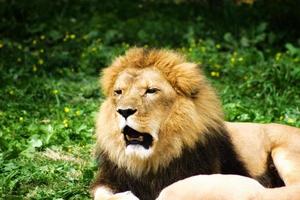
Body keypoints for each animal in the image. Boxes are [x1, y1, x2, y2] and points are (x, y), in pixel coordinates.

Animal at [91, 47, 300, 200]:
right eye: (118, 92)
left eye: (151, 91)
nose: (124, 111)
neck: (149, 162)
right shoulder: (109, 178)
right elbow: (100, 193)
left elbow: (172, 189)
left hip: (286, 153)